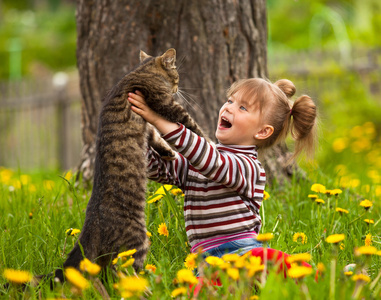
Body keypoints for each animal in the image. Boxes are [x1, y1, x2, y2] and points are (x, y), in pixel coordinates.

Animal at [52, 48, 205, 282]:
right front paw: (211, 140)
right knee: (123, 273)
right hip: (136, 240)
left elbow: (157, 137)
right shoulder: (165, 104)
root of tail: (90, 225)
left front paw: (169, 153)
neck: (142, 71)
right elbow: (191, 125)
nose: (177, 88)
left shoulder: (149, 127)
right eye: (177, 76)